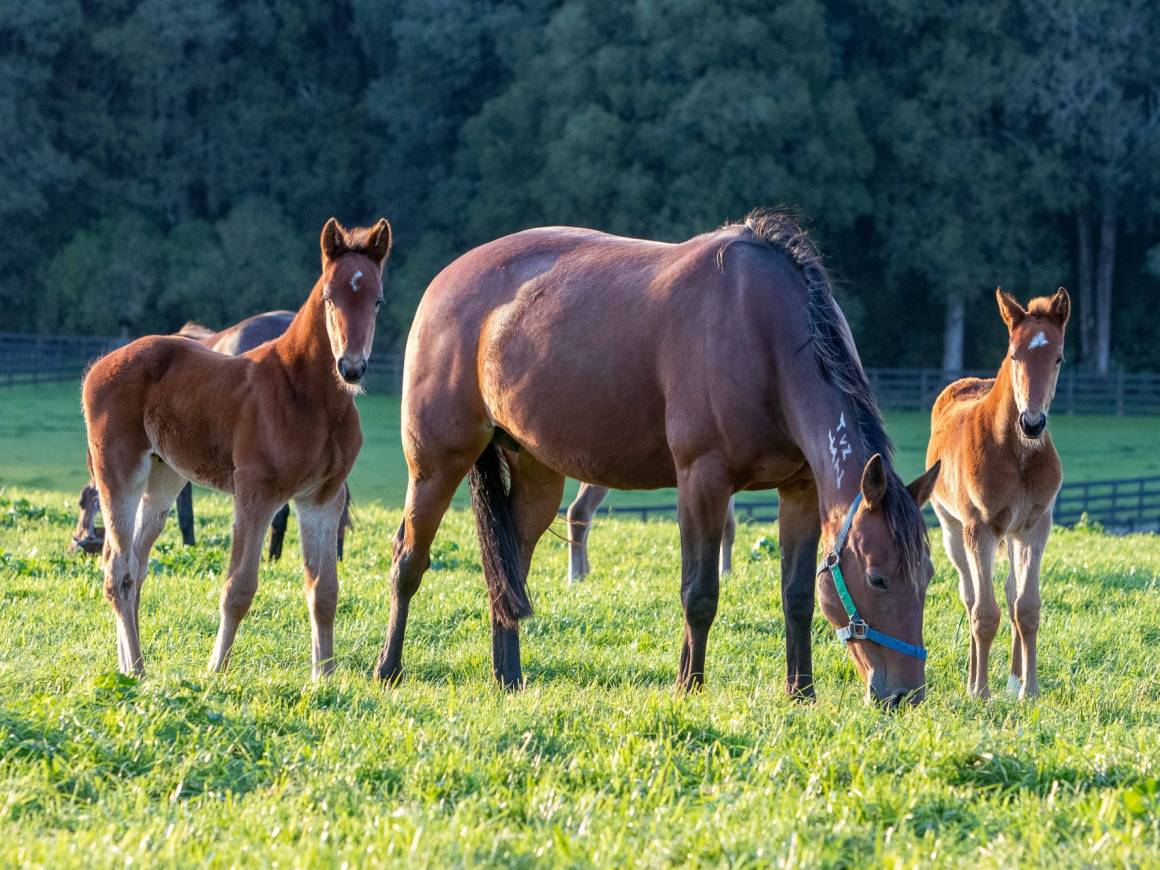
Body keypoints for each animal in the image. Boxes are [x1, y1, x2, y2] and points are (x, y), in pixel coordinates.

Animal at [81, 218, 392, 682]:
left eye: (377, 300)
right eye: (329, 296)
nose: (351, 368)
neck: (307, 394)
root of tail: (99, 365)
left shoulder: (321, 498)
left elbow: (324, 590)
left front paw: (324, 678)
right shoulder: (256, 495)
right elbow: (239, 587)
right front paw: (216, 669)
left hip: (164, 478)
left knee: (134, 564)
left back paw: (128, 665)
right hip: (119, 473)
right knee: (118, 568)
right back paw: (136, 668)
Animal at [566, 487, 737, 582]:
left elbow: (728, 527)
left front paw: (726, 574)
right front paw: (724, 574)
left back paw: (585, 573)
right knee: (579, 510)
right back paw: (575, 578)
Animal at [923, 287, 1067, 700]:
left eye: (1058, 358)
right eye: (1015, 355)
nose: (1032, 423)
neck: (1016, 453)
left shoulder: (1036, 527)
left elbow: (1027, 608)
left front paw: (1029, 690)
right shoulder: (979, 528)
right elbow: (984, 613)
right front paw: (981, 693)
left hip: (1014, 536)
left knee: (1011, 592)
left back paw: (1014, 678)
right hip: (953, 530)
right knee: (971, 596)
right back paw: (974, 679)